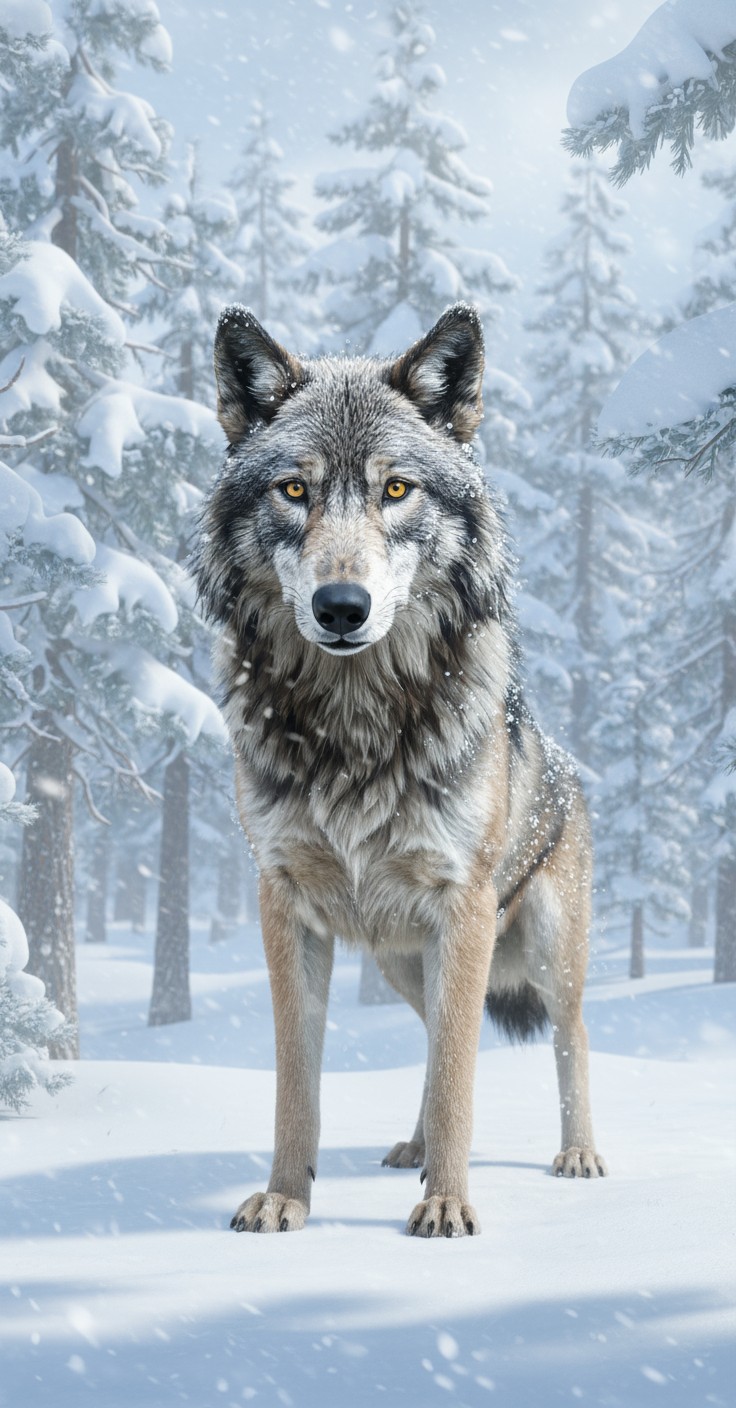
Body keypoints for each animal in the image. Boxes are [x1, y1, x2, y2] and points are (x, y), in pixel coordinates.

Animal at [194, 302, 607, 1239]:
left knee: (565, 1038)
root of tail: (570, 768)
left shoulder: (463, 906)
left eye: (395, 490)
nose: (341, 607)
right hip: (395, 962)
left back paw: (576, 1156)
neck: (354, 725)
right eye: (295, 490)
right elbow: (298, 1080)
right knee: (428, 1036)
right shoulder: (284, 904)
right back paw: (414, 1151)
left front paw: (448, 1205)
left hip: (544, 950)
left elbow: (459, 1077)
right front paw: (285, 1197)